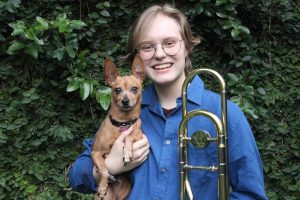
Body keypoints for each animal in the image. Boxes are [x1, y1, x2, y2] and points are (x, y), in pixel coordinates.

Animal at [91, 55, 145, 200]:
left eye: (134, 88)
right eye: (117, 90)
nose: (125, 101)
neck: (123, 122)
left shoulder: (141, 136)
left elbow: (130, 135)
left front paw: (127, 153)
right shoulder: (95, 153)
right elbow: (103, 169)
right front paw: (102, 185)